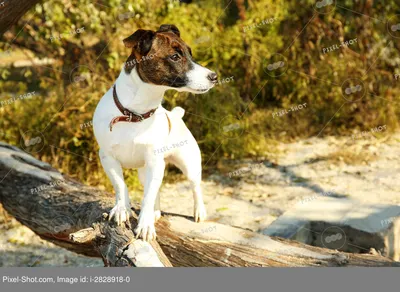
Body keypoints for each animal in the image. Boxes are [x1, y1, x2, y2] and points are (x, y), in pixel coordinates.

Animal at [92, 23, 217, 242]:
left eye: (190, 54)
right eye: (175, 56)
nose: (214, 77)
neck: (134, 114)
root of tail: (176, 115)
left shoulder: (155, 162)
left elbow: (147, 197)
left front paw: (145, 224)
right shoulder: (108, 158)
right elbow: (120, 185)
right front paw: (122, 209)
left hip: (189, 164)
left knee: (195, 188)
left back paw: (198, 211)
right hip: (146, 170)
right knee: (154, 188)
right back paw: (156, 211)